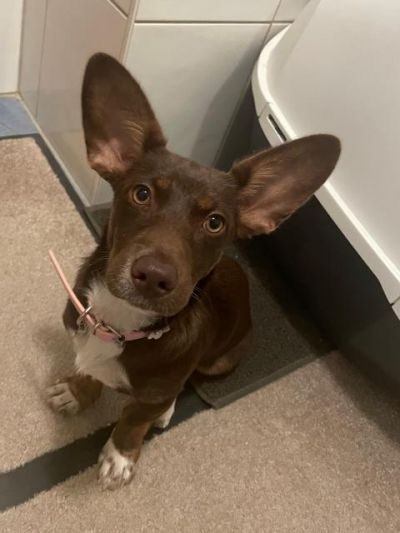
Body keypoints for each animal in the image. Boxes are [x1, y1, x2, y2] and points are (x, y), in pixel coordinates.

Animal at [46, 53, 340, 489]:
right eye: (141, 194)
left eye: (215, 223)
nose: (154, 276)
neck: (122, 323)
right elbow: (89, 372)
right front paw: (77, 391)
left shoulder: (155, 390)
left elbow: (134, 417)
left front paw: (120, 455)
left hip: (221, 359)